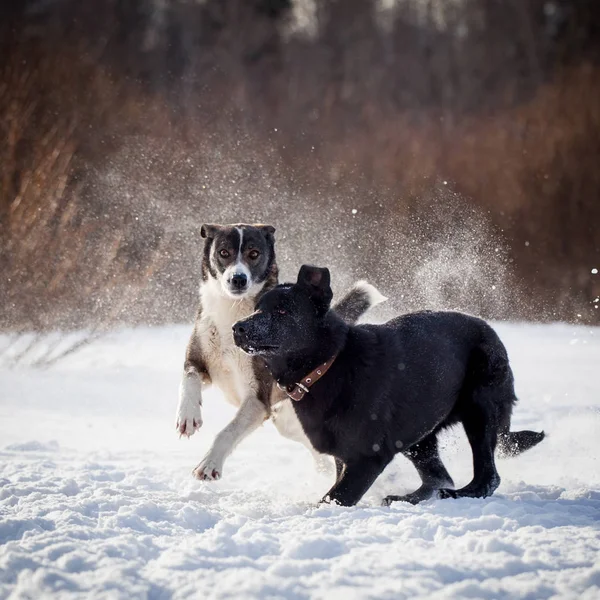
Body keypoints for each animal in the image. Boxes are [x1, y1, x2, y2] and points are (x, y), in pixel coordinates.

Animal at [173, 227, 384, 480]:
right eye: (224, 252)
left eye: (254, 253)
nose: (238, 279)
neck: (232, 312)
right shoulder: (200, 361)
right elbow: (189, 379)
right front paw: (188, 416)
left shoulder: (258, 399)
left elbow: (228, 431)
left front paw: (209, 464)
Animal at [233, 266, 544, 506]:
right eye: (257, 308)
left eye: (283, 311)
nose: (238, 328)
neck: (327, 366)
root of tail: (489, 329)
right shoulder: (344, 456)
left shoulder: (367, 457)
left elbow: (333, 498)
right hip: (418, 433)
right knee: (438, 477)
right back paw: (408, 499)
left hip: (480, 410)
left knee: (487, 477)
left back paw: (459, 495)